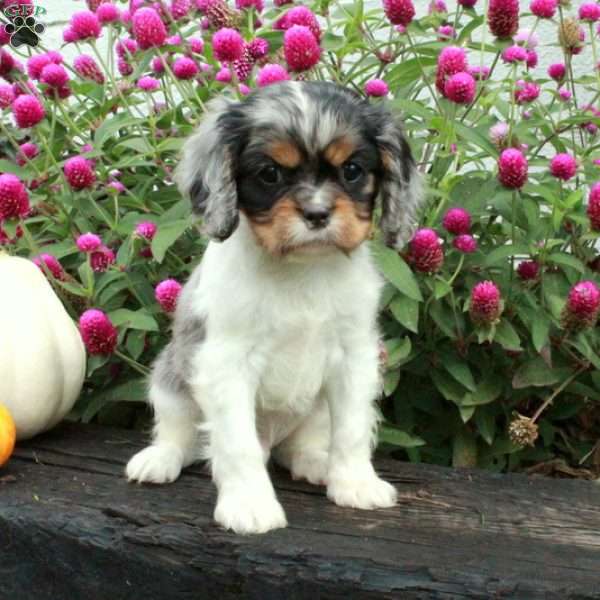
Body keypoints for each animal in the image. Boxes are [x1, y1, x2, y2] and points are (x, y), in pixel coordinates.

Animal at [126, 79, 422, 536]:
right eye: (270, 174)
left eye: (352, 171)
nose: (317, 213)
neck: (301, 269)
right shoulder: (225, 364)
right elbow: (237, 443)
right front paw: (249, 504)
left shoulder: (354, 358)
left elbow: (353, 429)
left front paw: (355, 483)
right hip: (169, 379)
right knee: (182, 435)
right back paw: (160, 458)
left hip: (313, 413)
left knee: (300, 448)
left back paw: (317, 463)